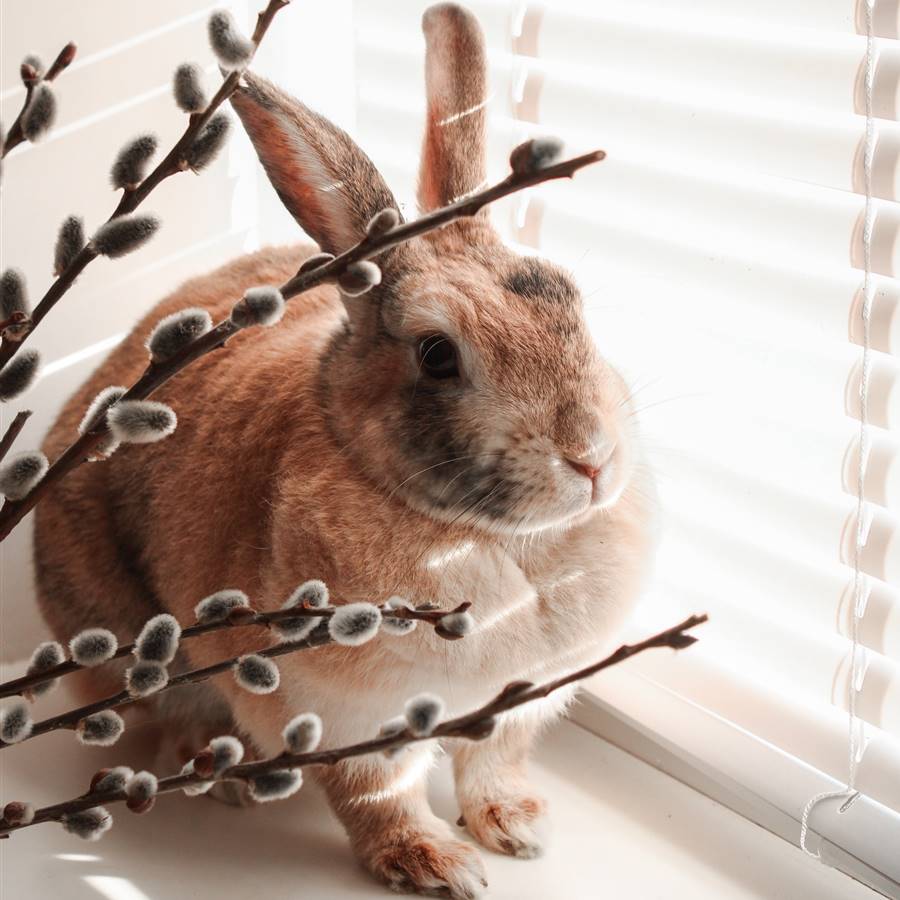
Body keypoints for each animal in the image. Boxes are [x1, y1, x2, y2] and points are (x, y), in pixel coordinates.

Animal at [35, 3, 656, 896]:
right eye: (437, 355)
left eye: (568, 298)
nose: (592, 458)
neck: (495, 540)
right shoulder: (341, 716)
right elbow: (378, 796)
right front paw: (438, 865)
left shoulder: (516, 706)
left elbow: (491, 765)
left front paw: (519, 829)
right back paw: (217, 773)